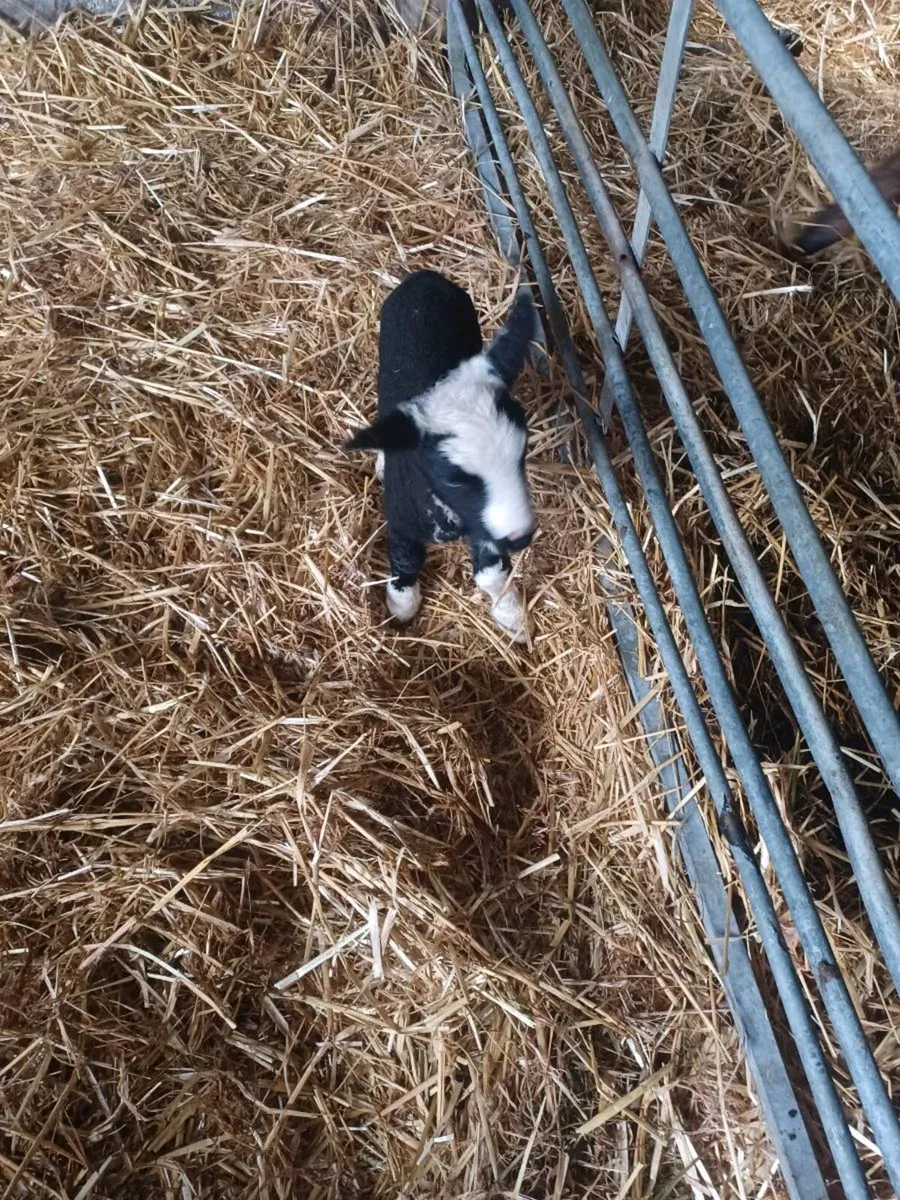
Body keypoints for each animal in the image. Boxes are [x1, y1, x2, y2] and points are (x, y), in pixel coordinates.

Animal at [345, 269, 537, 643]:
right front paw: (401, 608)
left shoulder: (484, 526)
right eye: (454, 478)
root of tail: (424, 276)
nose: (521, 536)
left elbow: (492, 573)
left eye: (522, 452)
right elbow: (405, 561)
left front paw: (511, 617)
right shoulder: (401, 517)